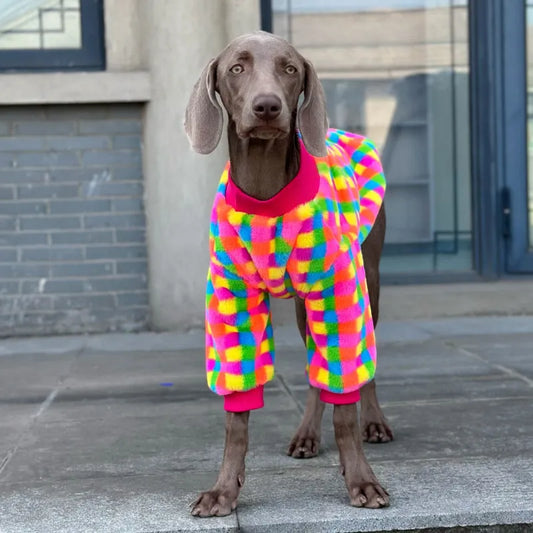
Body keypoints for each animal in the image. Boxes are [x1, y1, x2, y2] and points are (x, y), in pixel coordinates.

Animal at [186, 30, 390, 516]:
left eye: (290, 68)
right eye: (236, 68)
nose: (267, 106)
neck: (265, 192)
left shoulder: (339, 291)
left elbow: (346, 408)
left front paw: (361, 479)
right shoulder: (232, 300)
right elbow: (236, 420)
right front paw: (224, 490)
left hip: (366, 282)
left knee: (358, 369)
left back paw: (374, 420)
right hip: (302, 306)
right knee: (318, 373)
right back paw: (306, 434)